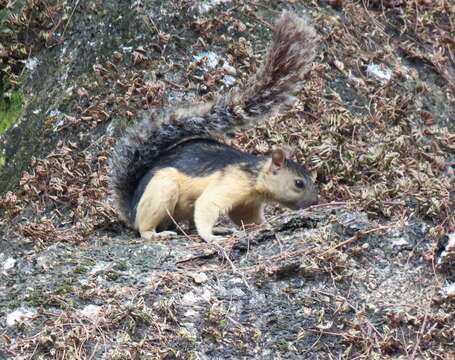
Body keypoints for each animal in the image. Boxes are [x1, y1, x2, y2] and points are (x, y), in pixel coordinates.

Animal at [108, 11, 318, 242]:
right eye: (299, 183)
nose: (315, 202)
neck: (255, 175)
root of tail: (131, 211)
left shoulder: (248, 203)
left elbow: (249, 219)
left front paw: (265, 226)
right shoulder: (230, 184)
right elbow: (207, 206)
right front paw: (211, 237)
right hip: (163, 190)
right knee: (146, 227)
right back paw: (157, 234)